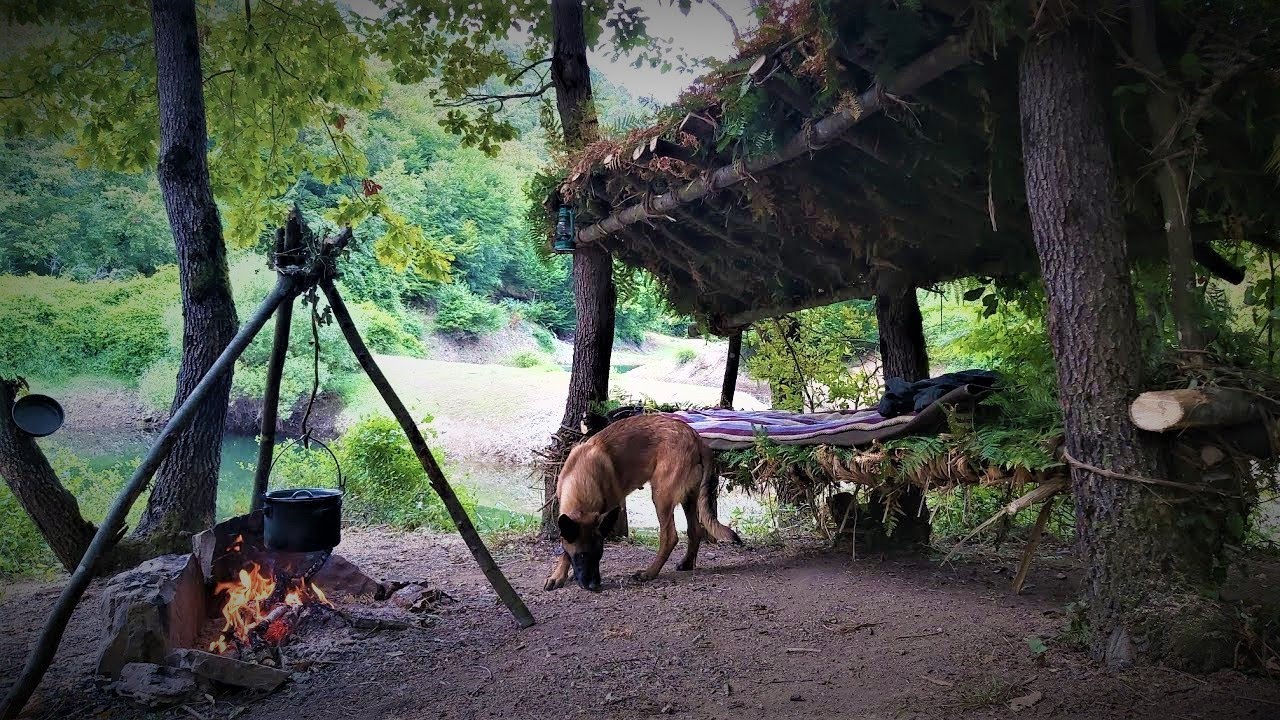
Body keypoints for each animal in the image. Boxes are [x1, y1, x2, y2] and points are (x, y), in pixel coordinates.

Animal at [542, 409, 742, 589]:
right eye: (582, 556)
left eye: (600, 554)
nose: (594, 586)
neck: (582, 478)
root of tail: (696, 438)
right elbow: (565, 548)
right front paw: (558, 575)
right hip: (689, 498)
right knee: (695, 530)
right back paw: (686, 563)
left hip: (661, 496)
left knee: (670, 537)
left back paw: (649, 573)